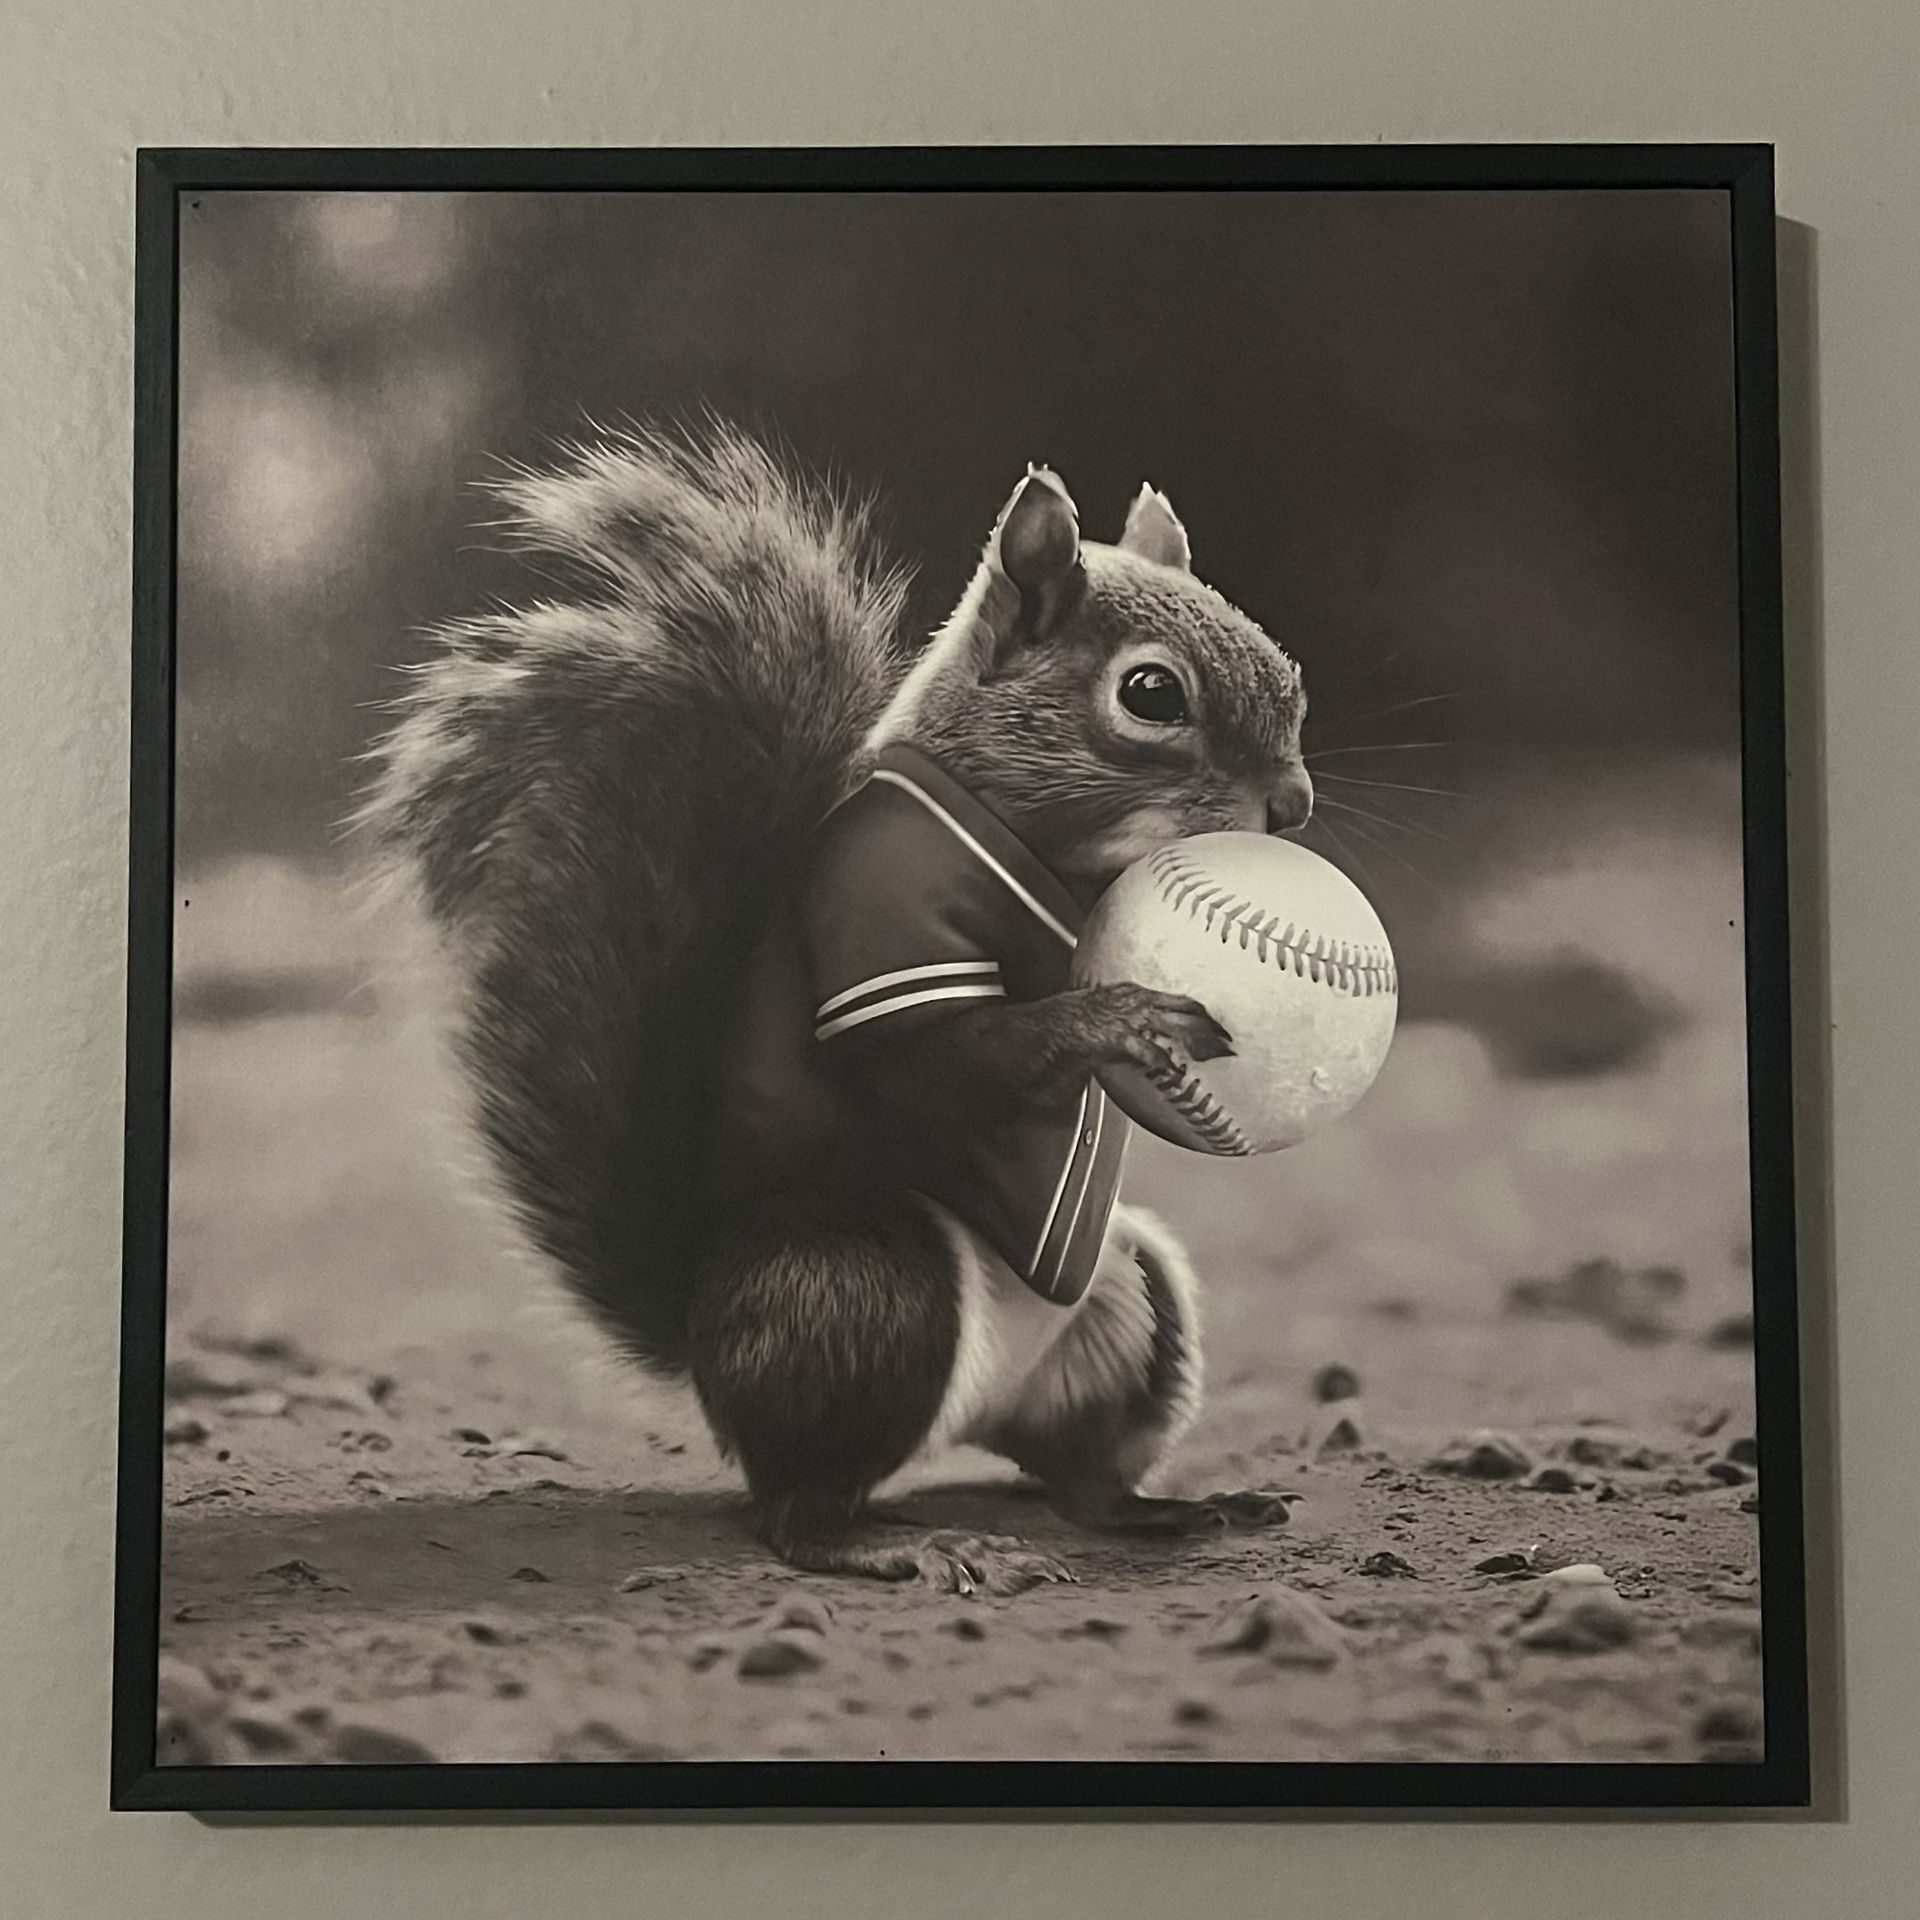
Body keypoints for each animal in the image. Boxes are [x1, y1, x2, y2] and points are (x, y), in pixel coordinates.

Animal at [361, 423, 1315, 1595]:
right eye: (1151, 695)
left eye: (1289, 672)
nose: (1293, 805)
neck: (1059, 858)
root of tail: (705, 1340)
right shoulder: (880, 919)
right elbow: (945, 1062)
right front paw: (1122, 1020)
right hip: (866, 1284)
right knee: (796, 1509)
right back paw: (901, 1542)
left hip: (1128, 1298)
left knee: (1077, 1475)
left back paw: (1160, 1509)